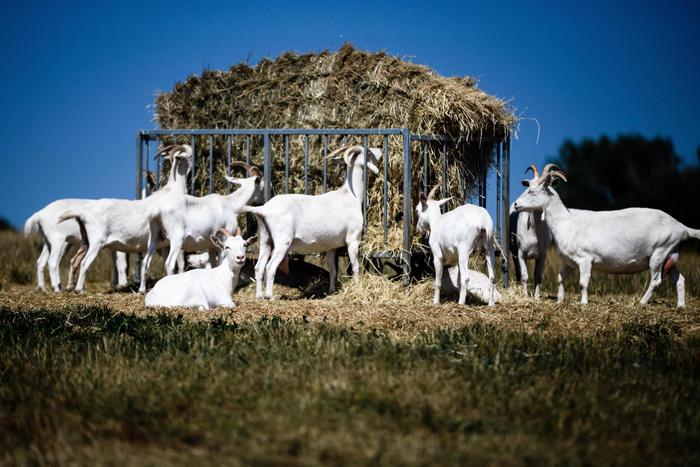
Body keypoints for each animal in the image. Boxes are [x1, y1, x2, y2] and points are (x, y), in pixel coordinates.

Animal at [58, 144, 191, 294]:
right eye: (189, 154)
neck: (172, 189)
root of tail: (83, 212)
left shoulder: (163, 243)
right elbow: (179, 263)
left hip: (85, 241)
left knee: (74, 260)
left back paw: (69, 286)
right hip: (97, 241)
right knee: (84, 263)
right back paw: (80, 290)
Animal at [241, 144, 382, 302]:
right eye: (368, 152)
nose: (380, 150)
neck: (350, 195)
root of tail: (264, 209)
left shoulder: (331, 246)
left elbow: (333, 270)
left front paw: (332, 291)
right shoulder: (353, 238)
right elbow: (355, 266)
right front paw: (357, 290)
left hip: (266, 239)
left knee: (259, 267)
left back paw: (259, 296)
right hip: (282, 241)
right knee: (270, 267)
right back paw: (270, 296)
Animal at [512, 165, 696, 308]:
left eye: (532, 191)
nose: (516, 205)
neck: (566, 220)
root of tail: (681, 227)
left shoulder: (585, 259)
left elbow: (583, 283)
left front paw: (583, 303)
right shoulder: (570, 262)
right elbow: (560, 277)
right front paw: (560, 300)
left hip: (659, 253)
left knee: (656, 281)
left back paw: (642, 302)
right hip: (670, 255)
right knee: (680, 280)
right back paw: (681, 305)